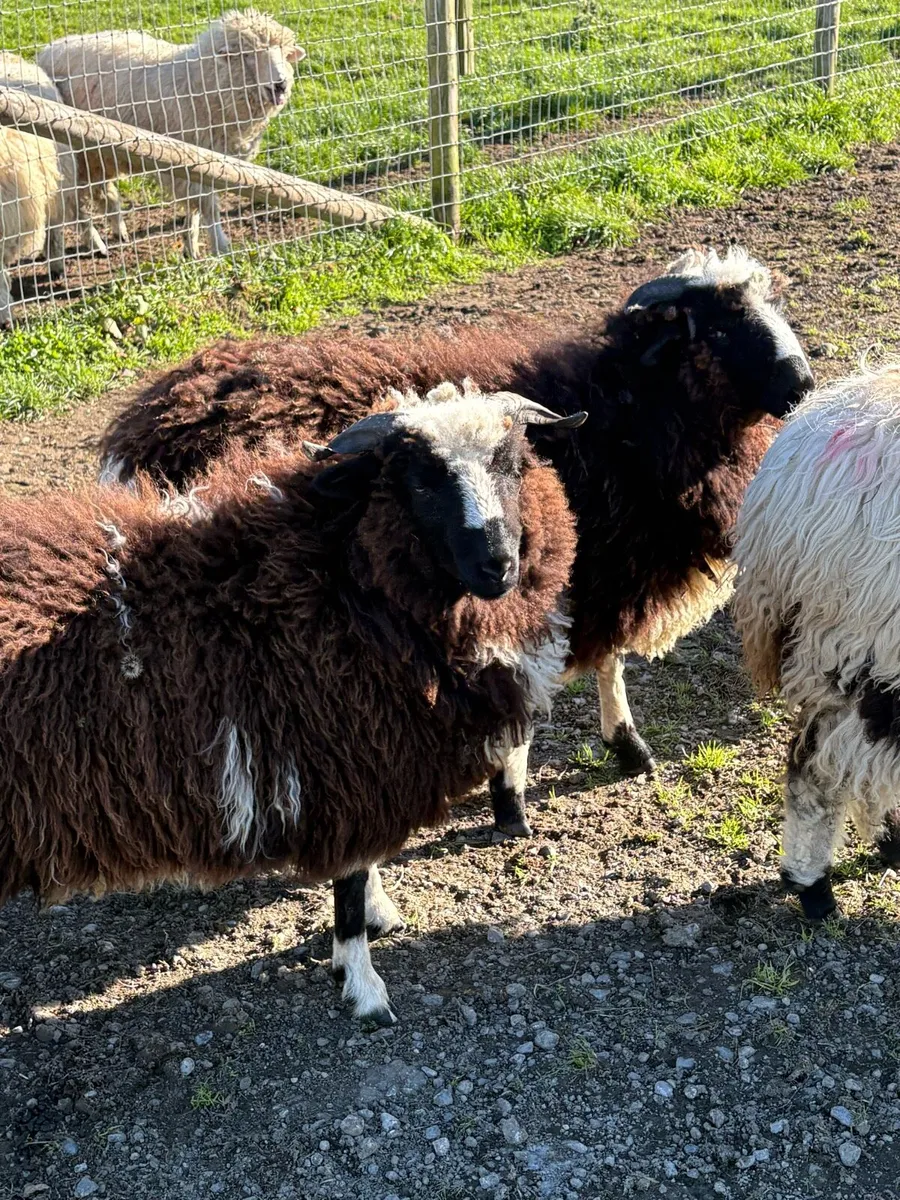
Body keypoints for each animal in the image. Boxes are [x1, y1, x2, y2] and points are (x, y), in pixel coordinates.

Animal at [0, 382, 581, 1024]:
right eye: (421, 480)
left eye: (513, 465)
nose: (498, 566)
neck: (338, 576)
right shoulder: (349, 760)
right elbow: (348, 883)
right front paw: (362, 984)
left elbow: (362, 870)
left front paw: (378, 914)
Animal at [38, 9, 305, 259]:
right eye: (247, 54)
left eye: (284, 53)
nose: (281, 84)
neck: (200, 84)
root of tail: (47, 50)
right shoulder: (195, 155)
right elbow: (208, 207)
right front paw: (220, 247)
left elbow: (195, 209)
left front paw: (191, 246)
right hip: (75, 152)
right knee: (74, 203)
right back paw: (94, 244)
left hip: (99, 154)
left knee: (101, 193)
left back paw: (117, 231)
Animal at [100, 246, 815, 836]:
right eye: (716, 328)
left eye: (772, 307)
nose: (803, 384)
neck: (619, 415)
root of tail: (146, 426)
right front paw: (515, 796)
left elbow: (606, 660)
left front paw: (624, 748)